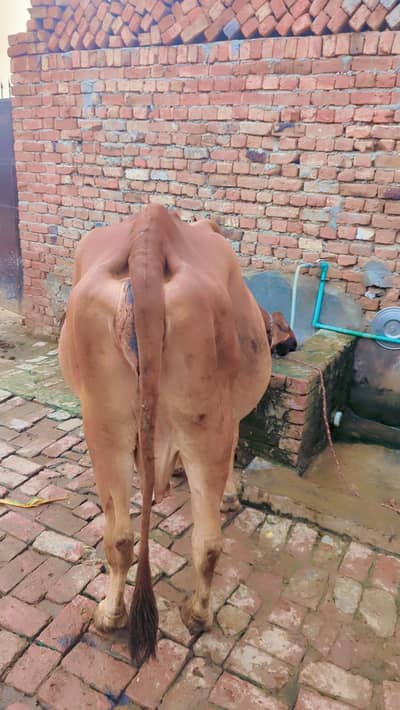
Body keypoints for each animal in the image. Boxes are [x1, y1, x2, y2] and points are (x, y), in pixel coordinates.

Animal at [59, 205, 296, 665]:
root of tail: (151, 237)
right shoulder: (231, 418)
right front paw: (228, 496)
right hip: (200, 422)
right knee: (205, 539)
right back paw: (193, 614)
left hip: (105, 424)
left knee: (124, 536)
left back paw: (113, 615)